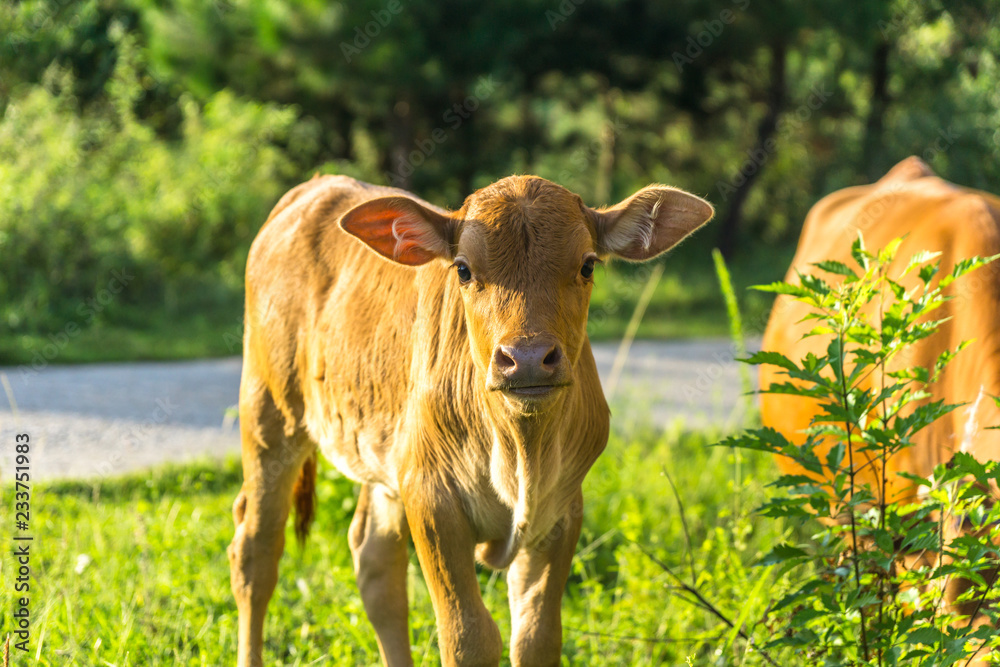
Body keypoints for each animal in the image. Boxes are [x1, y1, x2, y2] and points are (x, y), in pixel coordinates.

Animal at [229, 175, 712, 664]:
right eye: (463, 269)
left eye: (588, 265)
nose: (527, 359)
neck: (521, 450)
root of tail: (315, 187)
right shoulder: (431, 496)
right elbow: (468, 635)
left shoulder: (562, 506)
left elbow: (536, 637)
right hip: (268, 415)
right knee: (255, 552)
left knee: (374, 563)